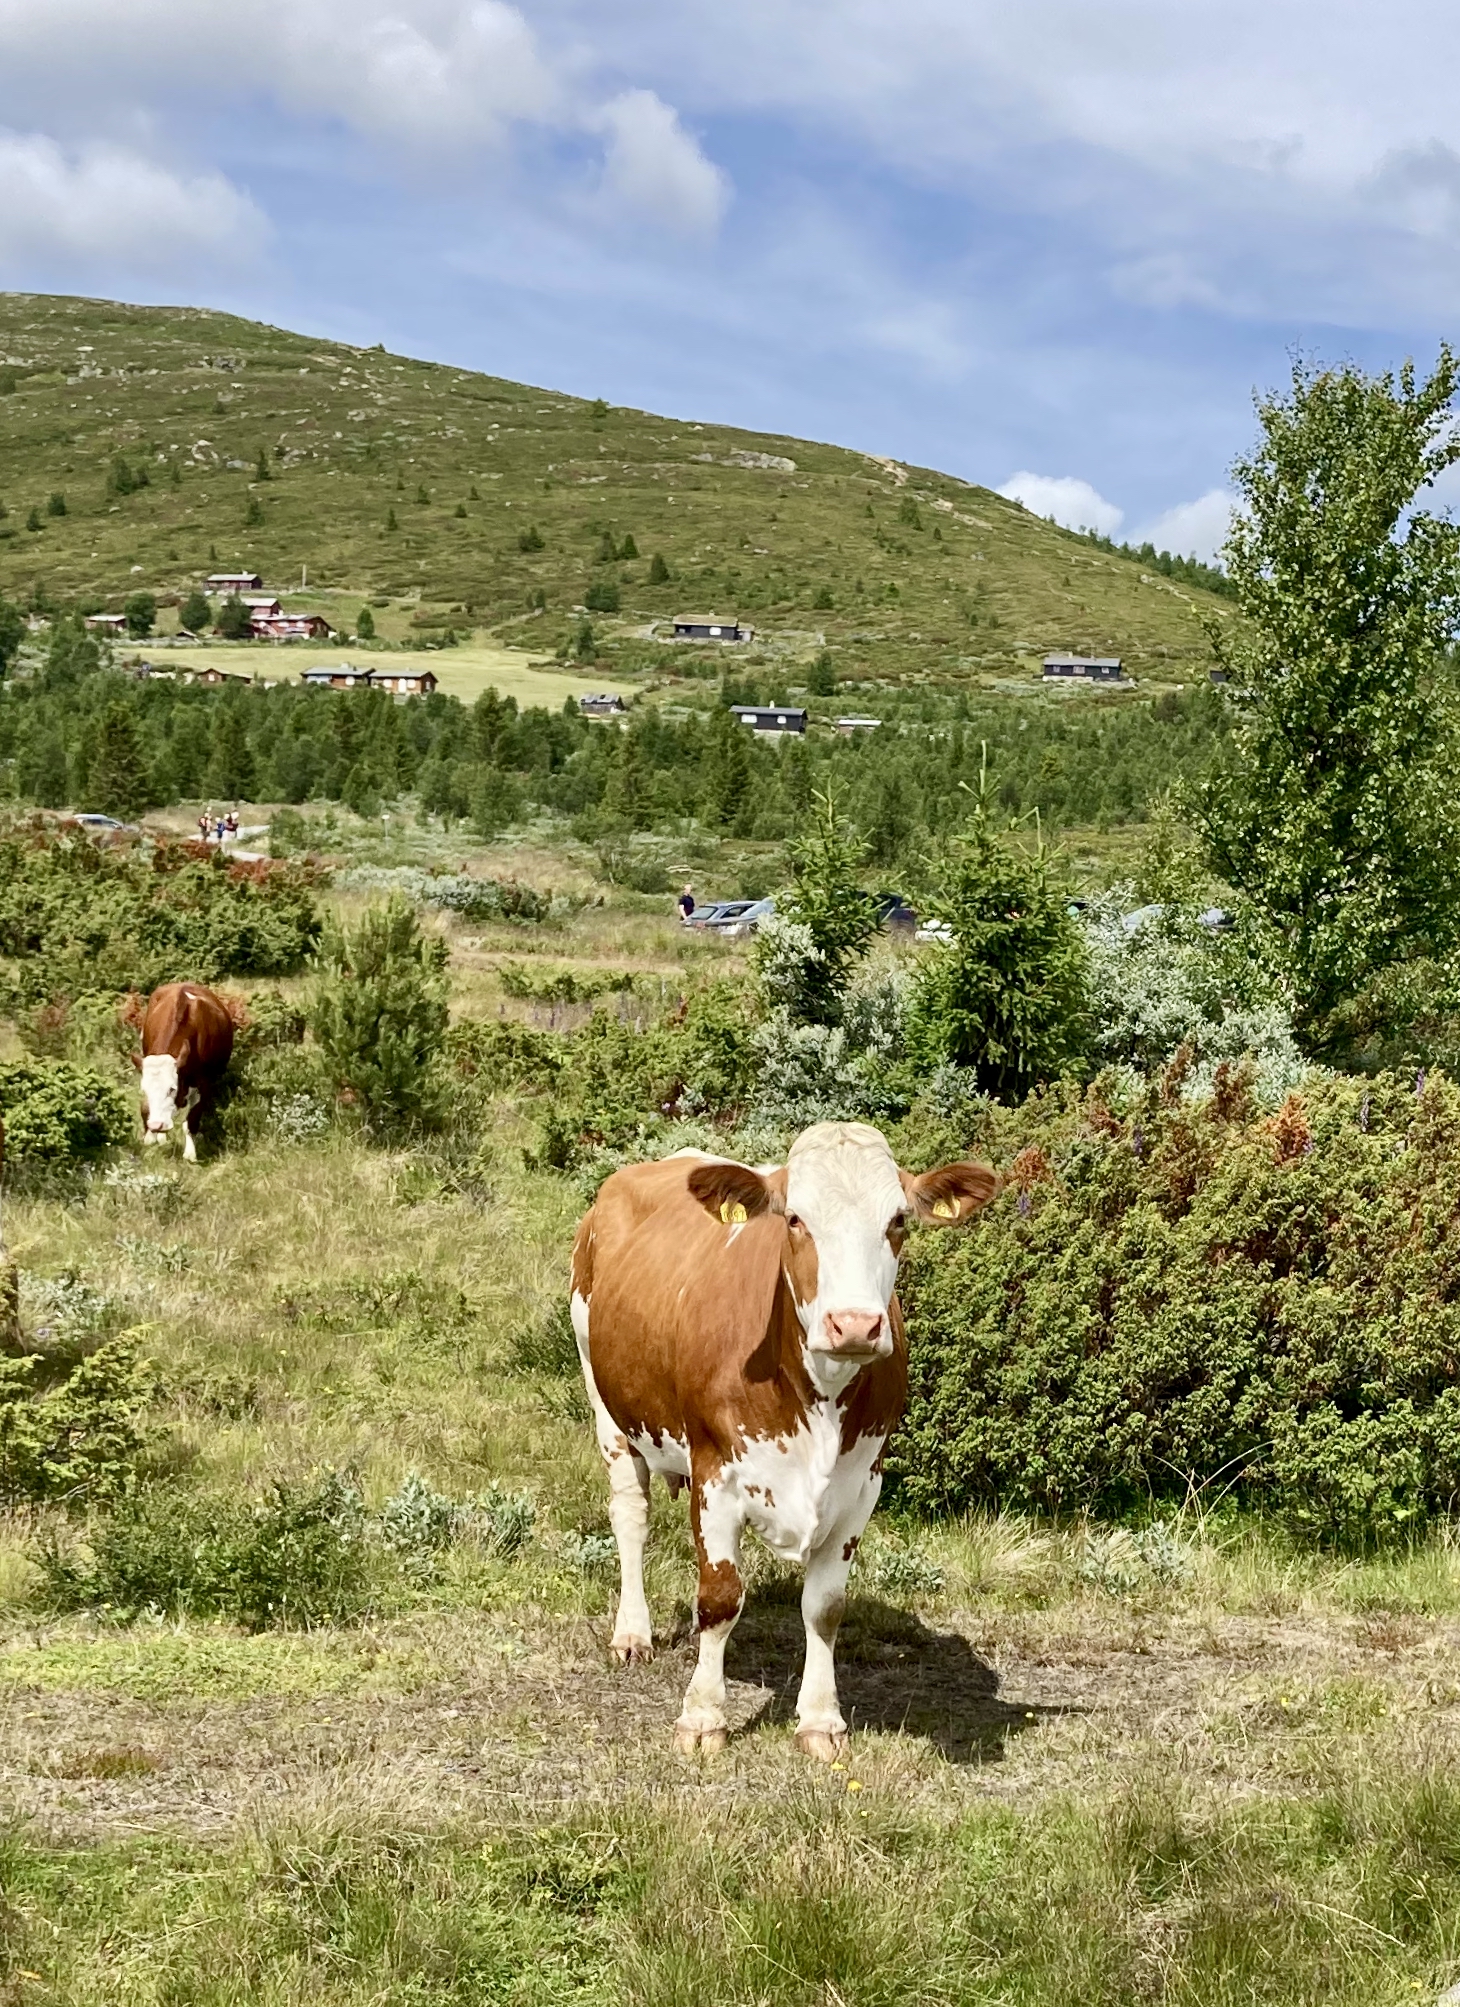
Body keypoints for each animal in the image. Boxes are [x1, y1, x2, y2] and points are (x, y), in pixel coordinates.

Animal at [135, 982, 236, 1163]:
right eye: (144, 1090)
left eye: (172, 1089)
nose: (156, 1125)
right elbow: (145, 1109)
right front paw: (151, 1138)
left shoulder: (204, 1084)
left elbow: (191, 1121)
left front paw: (190, 1154)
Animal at [570, 1120, 997, 1760]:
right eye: (795, 1219)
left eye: (898, 1220)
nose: (854, 1325)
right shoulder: (715, 1473)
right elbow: (719, 1598)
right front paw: (702, 1716)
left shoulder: (862, 1485)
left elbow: (825, 1609)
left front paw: (821, 1720)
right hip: (606, 1405)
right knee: (630, 1516)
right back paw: (632, 1633)